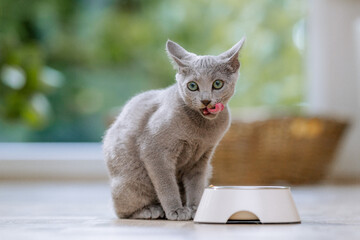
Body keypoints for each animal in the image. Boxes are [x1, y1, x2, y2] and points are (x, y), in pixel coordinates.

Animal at [102, 38, 246, 221]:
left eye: (217, 84)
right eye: (192, 86)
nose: (206, 100)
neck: (200, 131)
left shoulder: (202, 159)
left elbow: (196, 185)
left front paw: (195, 209)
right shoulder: (154, 150)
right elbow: (167, 184)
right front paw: (176, 210)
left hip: (208, 170)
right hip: (131, 178)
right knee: (121, 211)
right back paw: (151, 210)